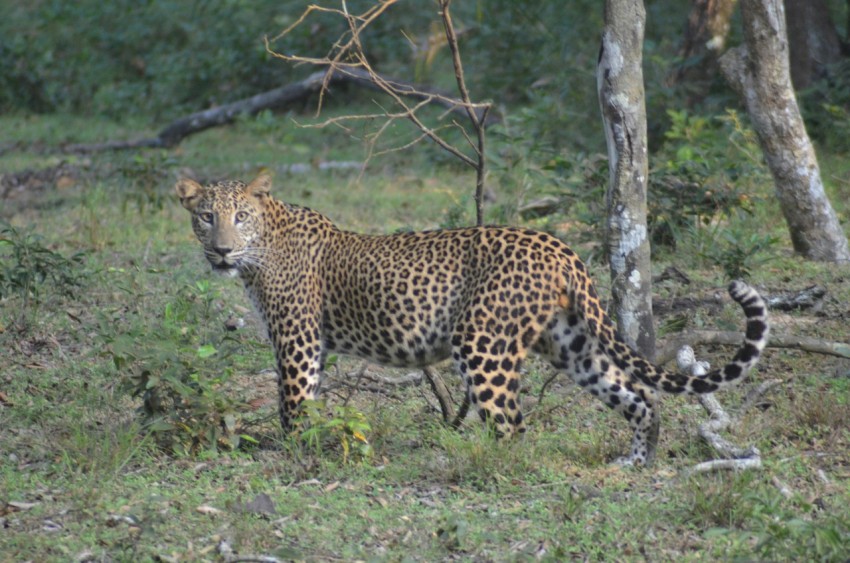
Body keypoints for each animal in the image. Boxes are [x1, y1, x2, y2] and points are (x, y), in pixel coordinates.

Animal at [177, 174, 768, 464]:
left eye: (240, 217)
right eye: (206, 217)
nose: (222, 251)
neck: (263, 243)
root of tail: (561, 248)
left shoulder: (298, 340)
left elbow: (295, 405)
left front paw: (293, 458)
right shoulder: (311, 344)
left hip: (482, 341)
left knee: (512, 426)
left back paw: (478, 469)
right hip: (573, 344)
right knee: (639, 397)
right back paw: (638, 462)